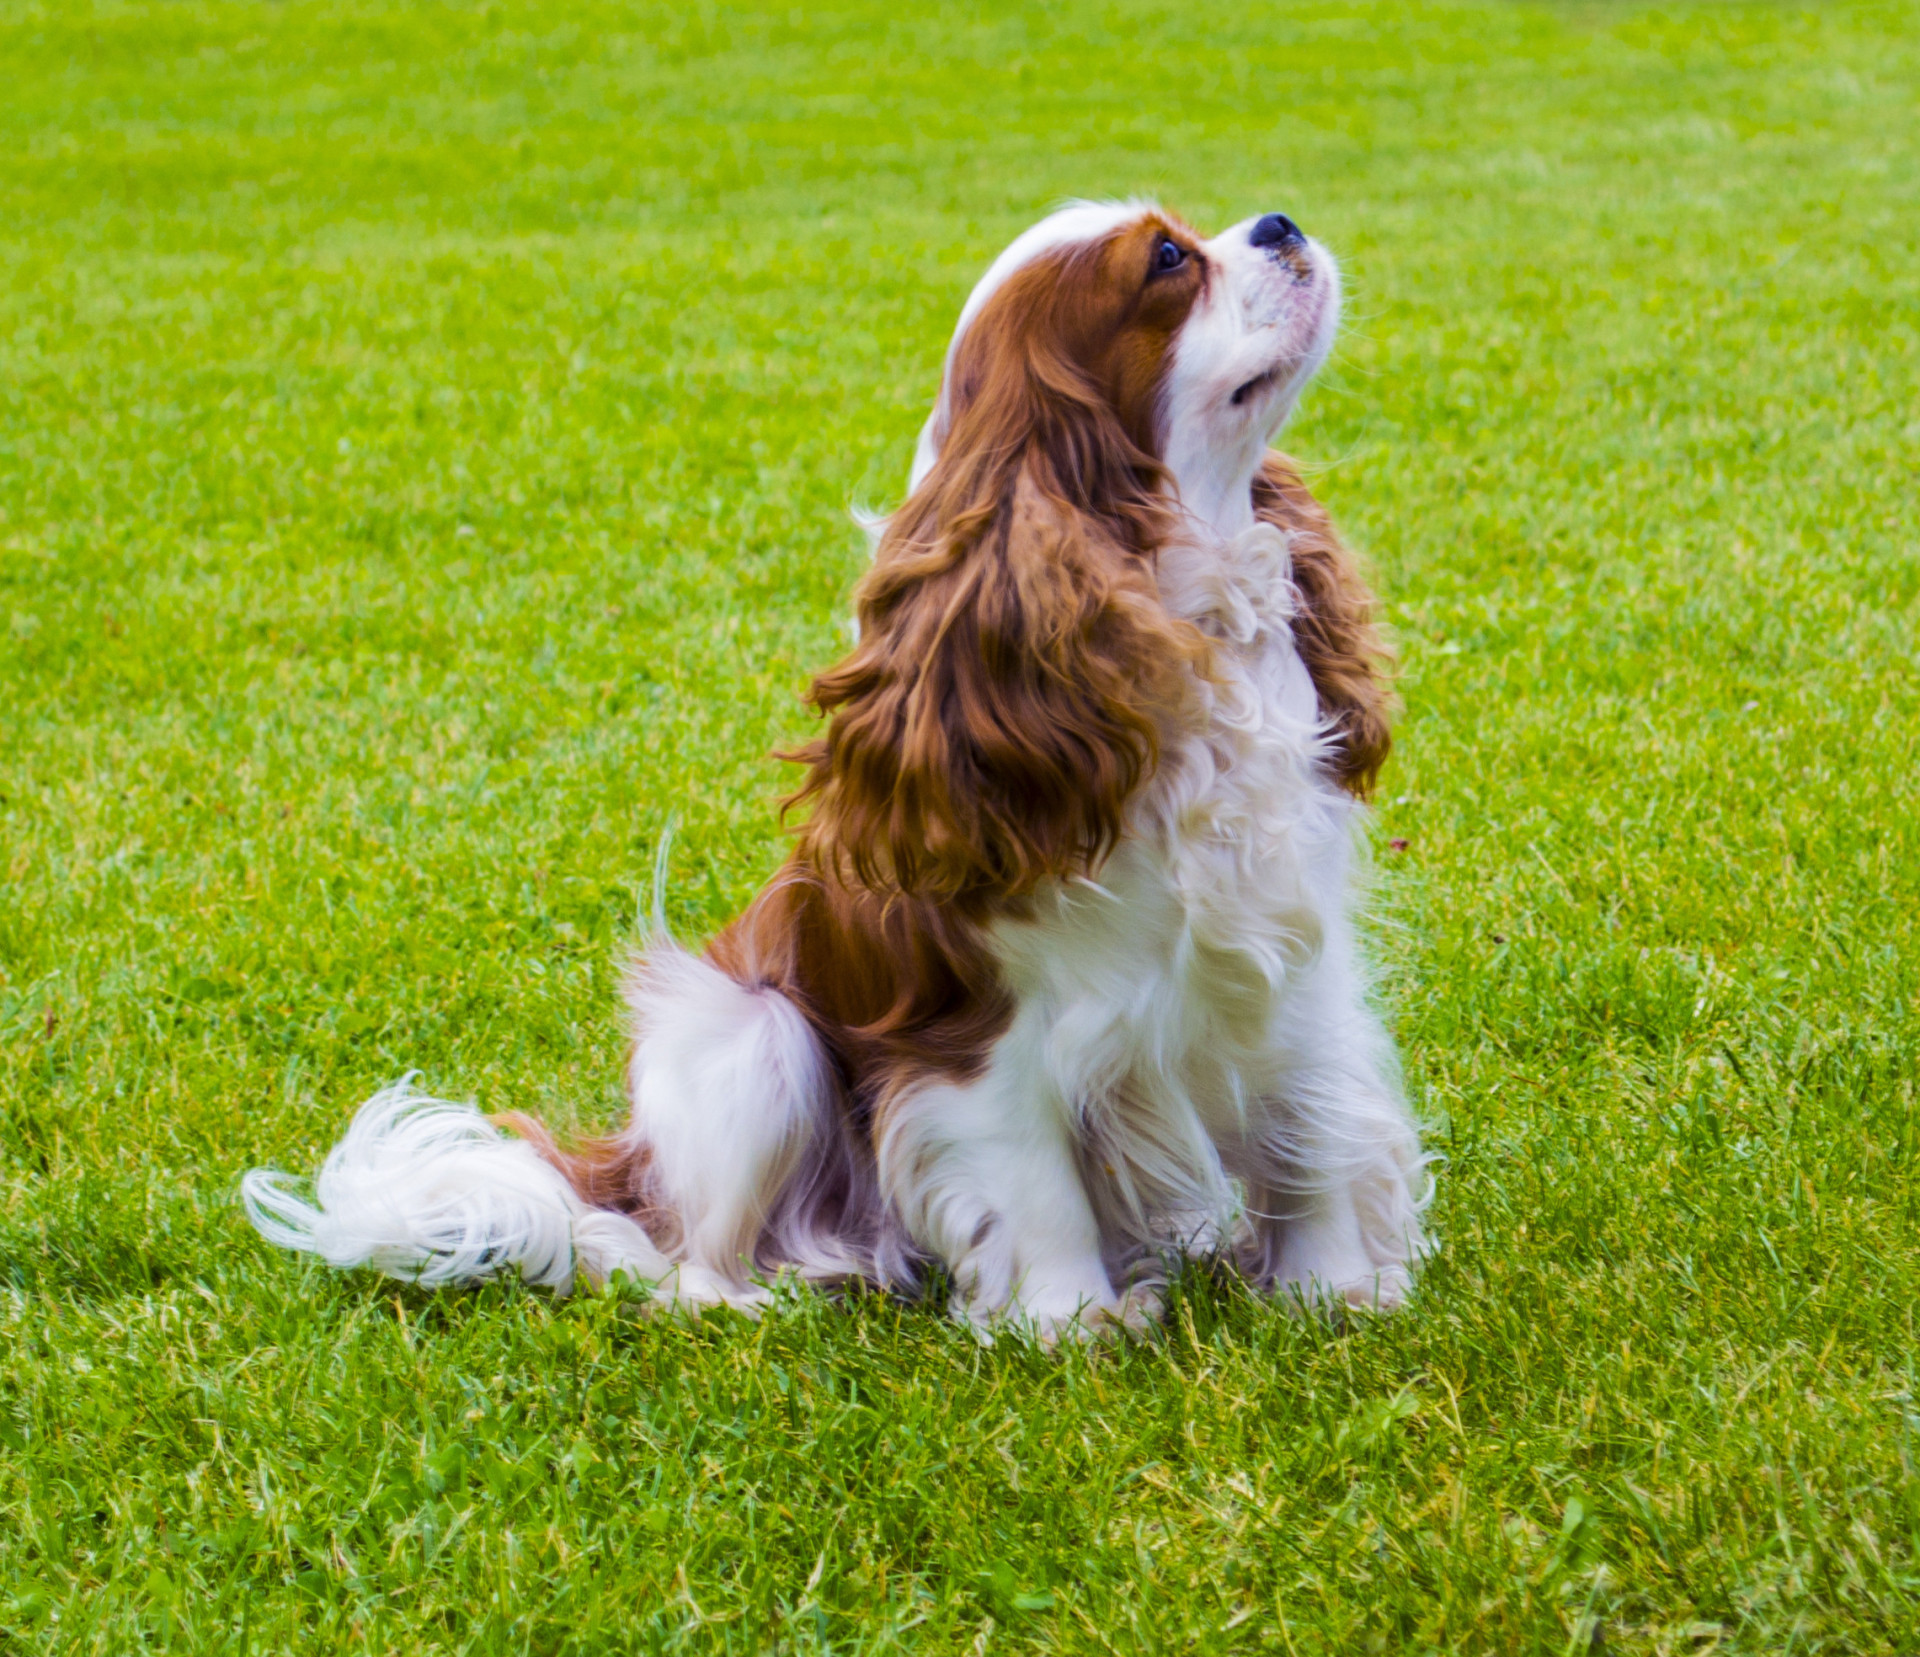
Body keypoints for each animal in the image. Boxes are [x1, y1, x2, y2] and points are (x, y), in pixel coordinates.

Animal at [243, 204, 1428, 1351]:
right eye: (1169, 261)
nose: (1278, 225)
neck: (1180, 632)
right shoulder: (978, 1038)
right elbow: (1037, 1185)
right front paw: (1070, 1322)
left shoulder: (1293, 960)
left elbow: (1312, 1131)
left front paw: (1327, 1293)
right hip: (749, 1038)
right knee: (678, 1259)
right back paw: (765, 1293)